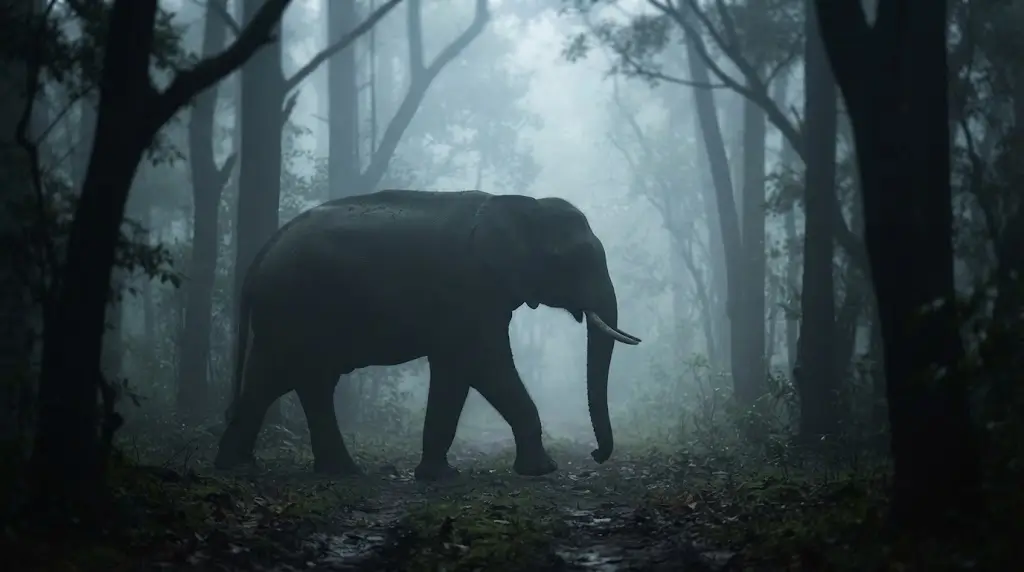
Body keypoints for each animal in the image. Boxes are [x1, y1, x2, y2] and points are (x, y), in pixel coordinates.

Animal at [213, 190, 641, 481]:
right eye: (575, 259)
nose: (595, 455)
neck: (520, 203)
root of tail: (259, 257)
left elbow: (461, 370)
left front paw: (437, 475)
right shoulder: (468, 289)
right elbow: (483, 364)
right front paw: (541, 470)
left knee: (294, 381)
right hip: (291, 309)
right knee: (285, 378)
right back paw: (252, 468)